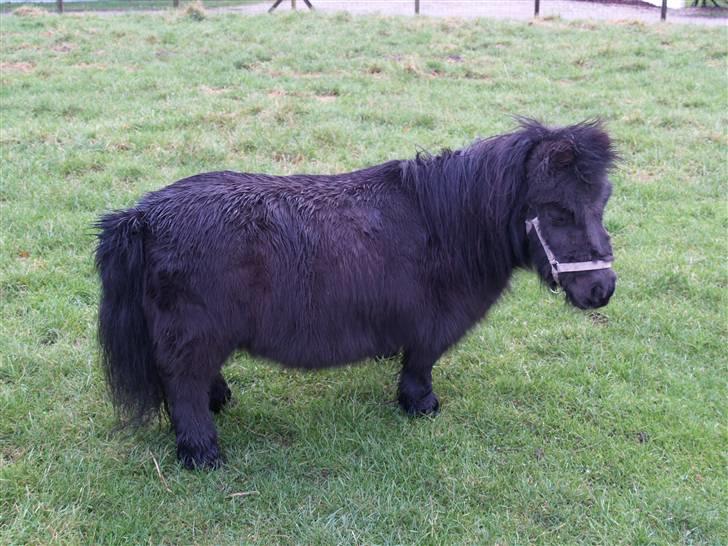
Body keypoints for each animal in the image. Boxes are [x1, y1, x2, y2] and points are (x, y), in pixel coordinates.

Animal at [96, 119, 617, 469]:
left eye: (603, 201)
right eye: (560, 211)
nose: (603, 290)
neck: (447, 224)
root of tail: (143, 216)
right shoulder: (433, 327)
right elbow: (421, 367)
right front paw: (421, 406)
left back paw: (218, 400)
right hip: (194, 333)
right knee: (182, 385)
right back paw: (202, 453)